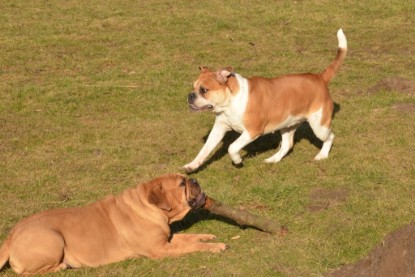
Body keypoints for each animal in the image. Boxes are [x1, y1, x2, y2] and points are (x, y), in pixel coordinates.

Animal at [185, 28, 348, 170]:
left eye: (204, 90)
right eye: (193, 87)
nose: (190, 96)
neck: (230, 103)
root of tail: (320, 77)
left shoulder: (252, 131)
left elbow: (232, 147)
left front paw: (238, 160)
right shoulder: (219, 129)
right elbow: (205, 149)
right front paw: (192, 165)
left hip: (319, 126)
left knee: (330, 137)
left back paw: (322, 155)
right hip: (288, 124)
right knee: (287, 145)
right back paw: (273, 159)